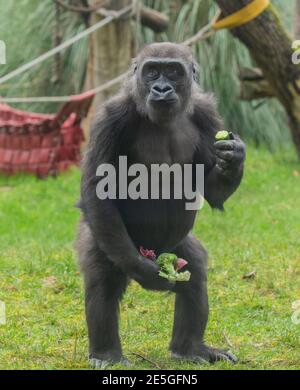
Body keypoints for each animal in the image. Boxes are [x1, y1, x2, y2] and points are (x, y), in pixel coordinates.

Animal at [77, 43, 246, 368]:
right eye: (152, 71)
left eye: (174, 72)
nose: (162, 88)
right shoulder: (110, 117)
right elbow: (99, 190)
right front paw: (143, 272)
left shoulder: (206, 112)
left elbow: (213, 191)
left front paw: (234, 158)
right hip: (108, 238)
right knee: (103, 277)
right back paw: (107, 354)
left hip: (172, 248)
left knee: (194, 269)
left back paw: (191, 348)